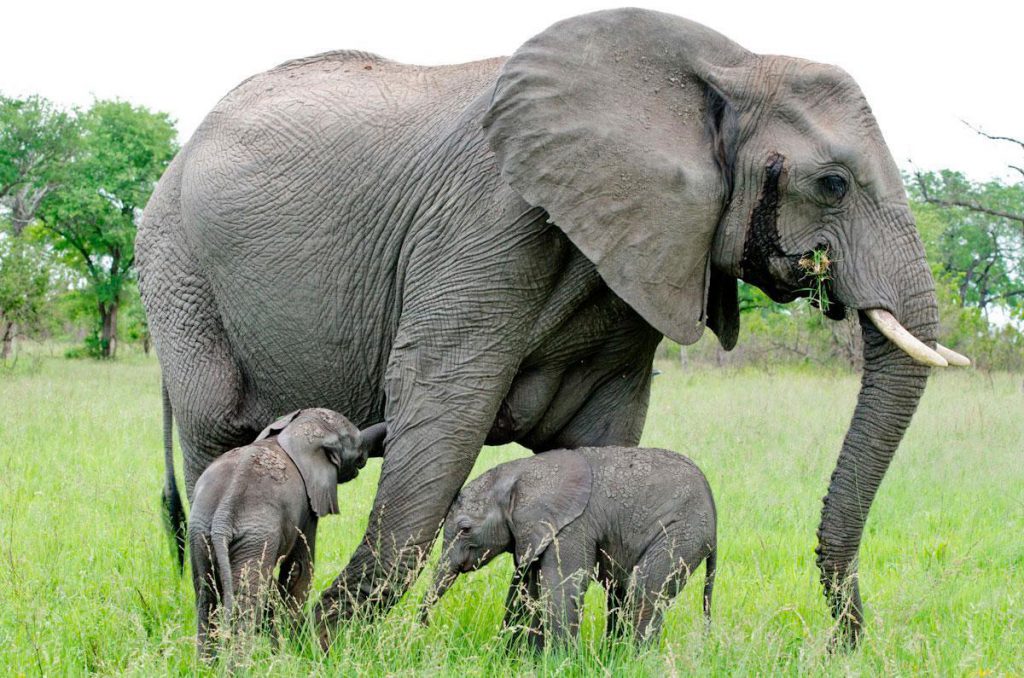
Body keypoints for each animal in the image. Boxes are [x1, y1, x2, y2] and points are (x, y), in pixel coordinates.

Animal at [189, 405, 387, 655]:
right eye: (356, 445)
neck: (293, 432)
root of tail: (224, 513)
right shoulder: (307, 507)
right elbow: (301, 568)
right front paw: (291, 647)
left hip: (200, 533)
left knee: (207, 598)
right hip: (256, 539)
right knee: (246, 604)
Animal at [419, 448, 716, 651]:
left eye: (465, 528)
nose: (424, 629)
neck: (521, 474)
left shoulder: (572, 525)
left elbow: (561, 585)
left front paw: (560, 660)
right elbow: (532, 589)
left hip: (682, 530)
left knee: (644, 589)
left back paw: (634, 659)